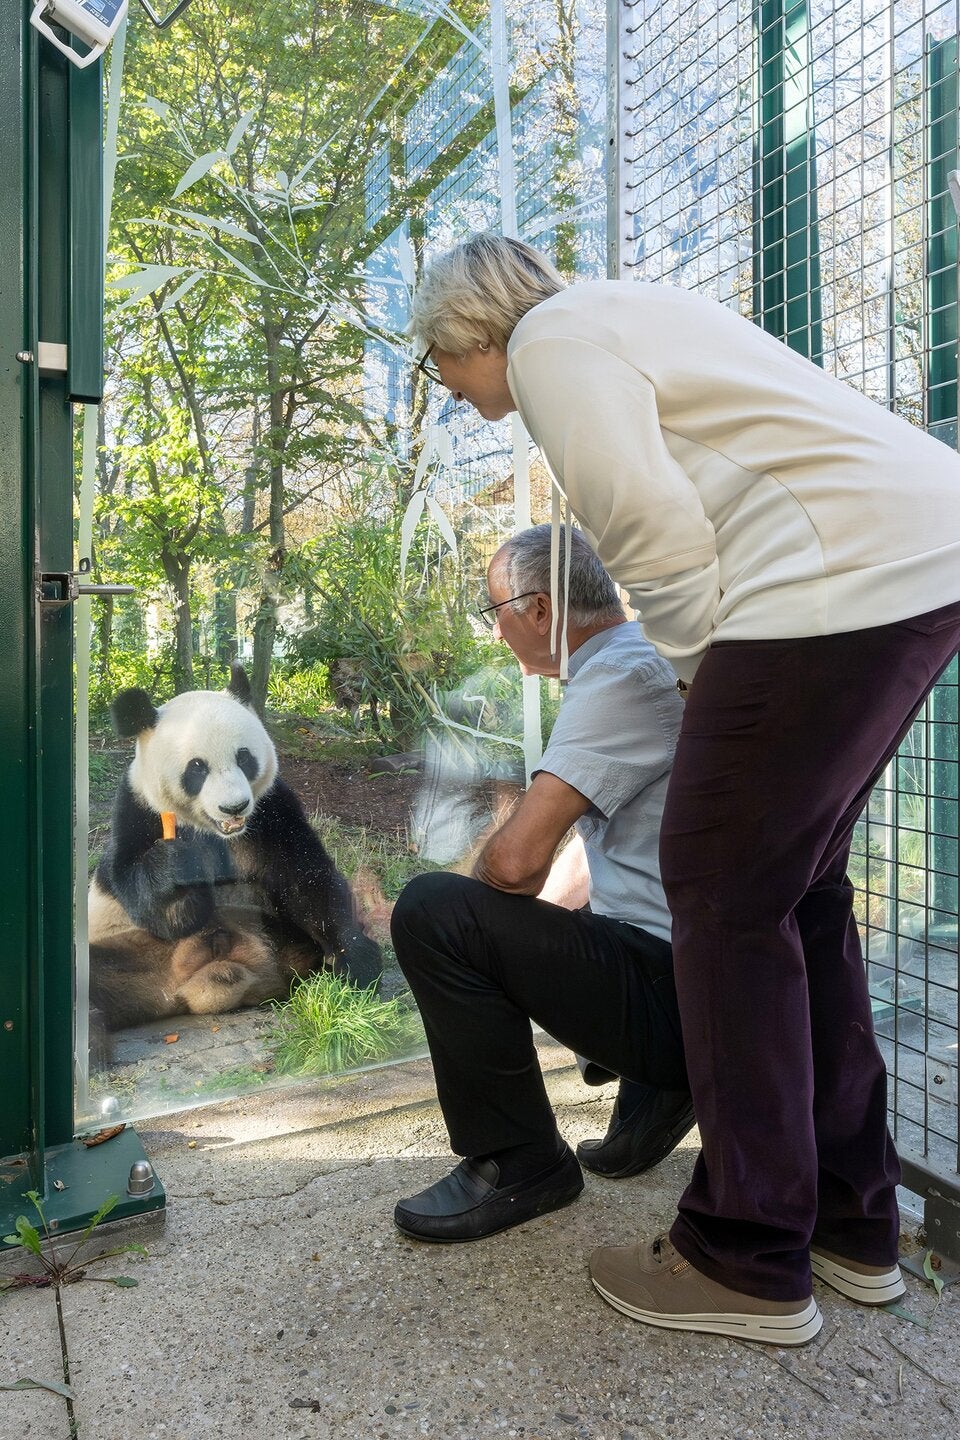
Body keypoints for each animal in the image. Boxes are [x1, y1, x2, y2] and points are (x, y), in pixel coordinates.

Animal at [88, 664, 382, 1039]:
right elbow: (156, 904)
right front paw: (175, 869)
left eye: (244, 757)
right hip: (127, 948)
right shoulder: (138, 812)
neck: (216, 830)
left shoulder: (272, 811)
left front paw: (356, 962)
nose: (235, 807)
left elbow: (306, 880)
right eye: (197, 768)